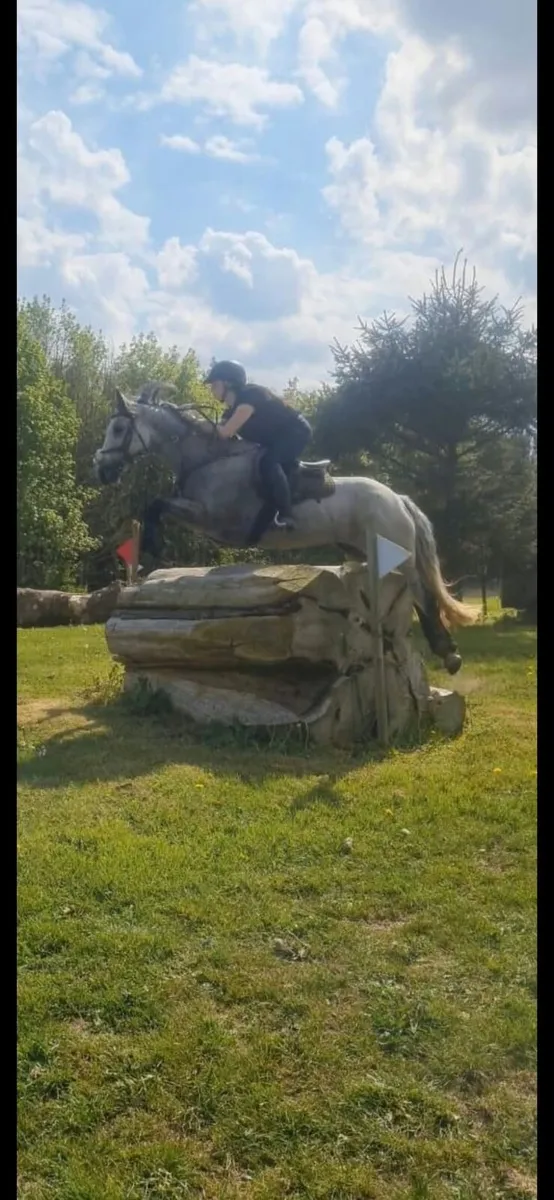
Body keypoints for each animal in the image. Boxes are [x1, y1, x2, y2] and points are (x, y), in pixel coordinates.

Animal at [93, 381, 477, 673]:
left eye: (119, 429)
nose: (103, 471)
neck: (206, 459)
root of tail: (397, 497)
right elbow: (156, 506)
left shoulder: (211, 517)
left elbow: (156, 506)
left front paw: (151, 548)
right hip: (364, 551)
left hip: (398, 552)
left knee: (422, 595)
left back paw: (449, 653)